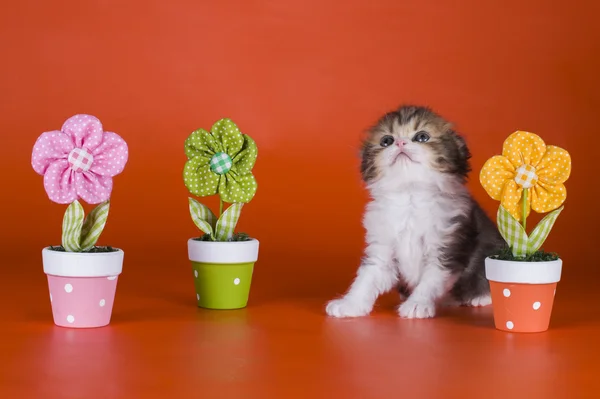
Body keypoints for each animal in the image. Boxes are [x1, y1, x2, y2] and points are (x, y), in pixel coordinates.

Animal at [326, 104, 504, 320]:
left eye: (422, 137)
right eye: (386, 141)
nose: (400, 142)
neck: (410, 196)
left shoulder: (446, 247)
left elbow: (431, 281)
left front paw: (417, 304)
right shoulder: (382, 249)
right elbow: (366, 278)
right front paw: (350, 304)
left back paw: (480, 297)